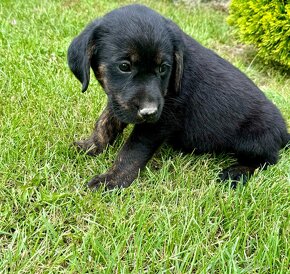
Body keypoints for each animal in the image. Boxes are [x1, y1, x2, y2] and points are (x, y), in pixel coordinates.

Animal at [67, 4, 288, 189]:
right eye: (124, 66)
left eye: (163, 68)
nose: (149, 111)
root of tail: (285, 132)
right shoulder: (119, 101)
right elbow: (105, 122)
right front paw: (91, 146)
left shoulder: (159, 122)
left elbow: (132, 152)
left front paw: (113, 180)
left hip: (253, 140)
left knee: (266, 161)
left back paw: (236, 172)